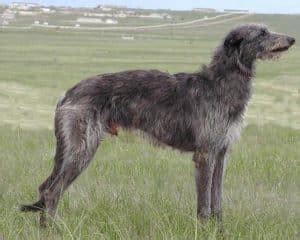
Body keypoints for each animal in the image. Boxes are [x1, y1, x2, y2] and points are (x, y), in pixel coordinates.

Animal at [21, 23, 296, 225]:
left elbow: (217, 199)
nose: (293, 39)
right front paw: (204, 229)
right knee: (51, 192)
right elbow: (204, 204)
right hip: (82, 147)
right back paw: (52, 231)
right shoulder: (205, 154)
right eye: (262, 33)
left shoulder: (221, 152)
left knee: (45, 188)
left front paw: (220, 229)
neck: (220, 83)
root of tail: (67, 94)